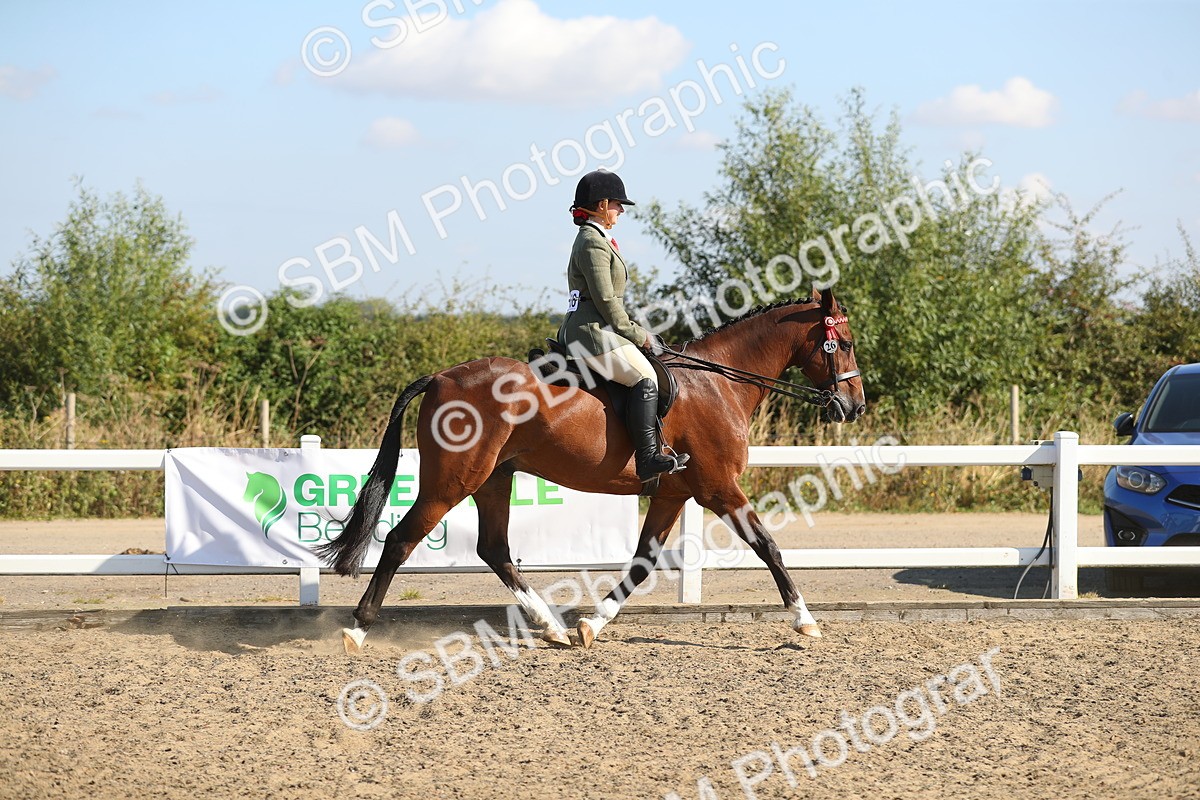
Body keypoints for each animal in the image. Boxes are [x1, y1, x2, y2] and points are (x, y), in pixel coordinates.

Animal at [317, 287, 866, 653]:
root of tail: (440, 377)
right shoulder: (719, 488)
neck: (719, 384)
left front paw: (591, 625)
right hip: (452, 481)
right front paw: (805, 621)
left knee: (494, 549)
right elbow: (767, 545)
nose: (855, 406)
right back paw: (357, 629)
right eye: (844, 344)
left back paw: (553, 628)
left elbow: (642, 562)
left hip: (494, 478)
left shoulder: (672, 494)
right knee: (401, 540)